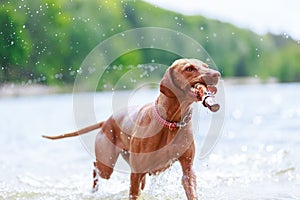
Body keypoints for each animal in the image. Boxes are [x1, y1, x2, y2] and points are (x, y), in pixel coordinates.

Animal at [42, 58, 220, 200]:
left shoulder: (187, 169)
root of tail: (107, 121)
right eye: (189, 68)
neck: (171, 123)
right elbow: (133, 193)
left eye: (205, 65)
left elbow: (190, 187)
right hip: (107, 164)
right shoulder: (136, 173)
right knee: (96, 167)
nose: (217, 74)